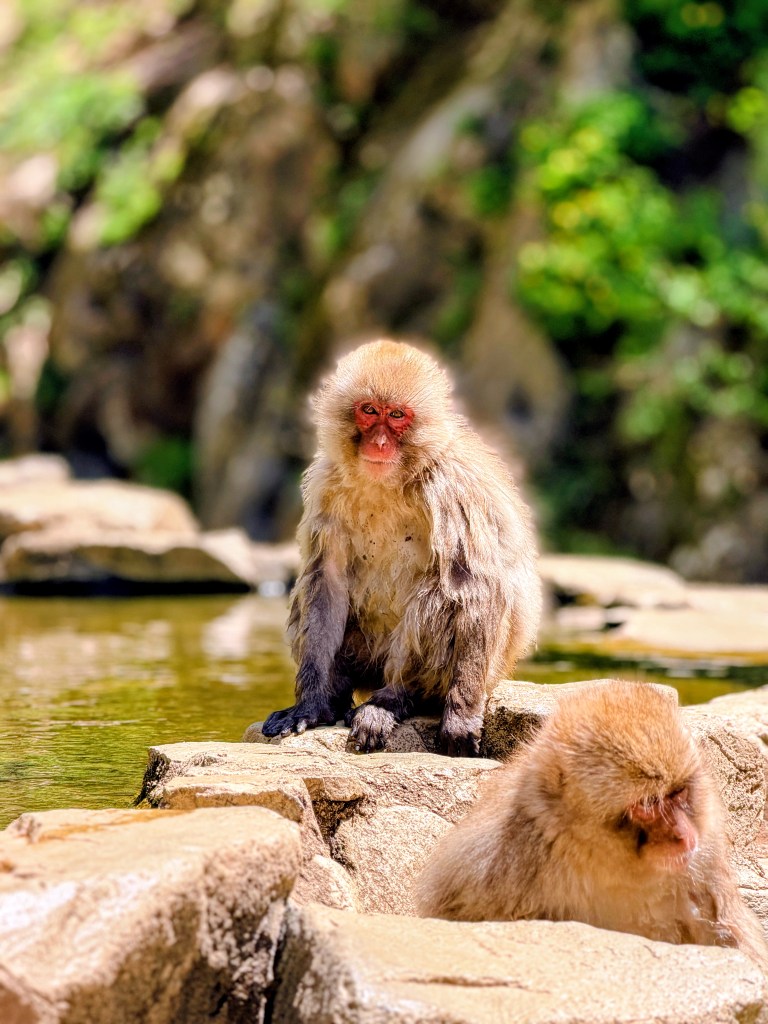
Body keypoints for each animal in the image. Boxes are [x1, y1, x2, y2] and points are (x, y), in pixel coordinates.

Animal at [262, 339, 542, 757]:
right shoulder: (327, 484)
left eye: (396, 416)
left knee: (444, 593)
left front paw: (461, 715)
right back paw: (335, 702)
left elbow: (476, 586)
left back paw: (393, 700)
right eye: (369, 411)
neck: (390, 480)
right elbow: (325, 581)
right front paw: (311, 704)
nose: (379, 443)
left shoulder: (454, 487)